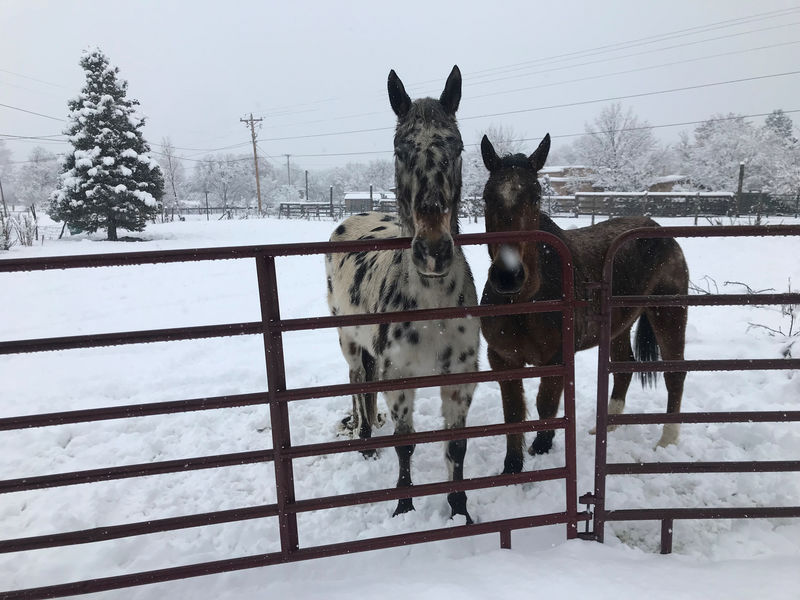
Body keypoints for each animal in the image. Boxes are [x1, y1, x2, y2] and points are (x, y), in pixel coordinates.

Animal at [326, 67, 478, 524]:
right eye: (399, 149)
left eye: (457, 145)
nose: (433, 251)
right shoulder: (400, 376)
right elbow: (405, 443)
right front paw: (404, 507)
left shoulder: (460, 378)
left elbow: (456, 447)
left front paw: (459, 510)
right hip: (348, 340)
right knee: (358, 380)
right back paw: (364, 438)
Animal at [478, 134, 692, 476]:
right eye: (486, 197)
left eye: (537, 197)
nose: (508, 275)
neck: (526, 300)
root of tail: (659, 230)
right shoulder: (502, 359)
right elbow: (512, 414)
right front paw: (512, 467)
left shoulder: (557, 358)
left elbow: (546, 406)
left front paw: (542, 448)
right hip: (619, 326)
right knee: (624, 368)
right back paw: (608, 426)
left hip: (669, 313)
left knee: (675, 374)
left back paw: (666, 440)